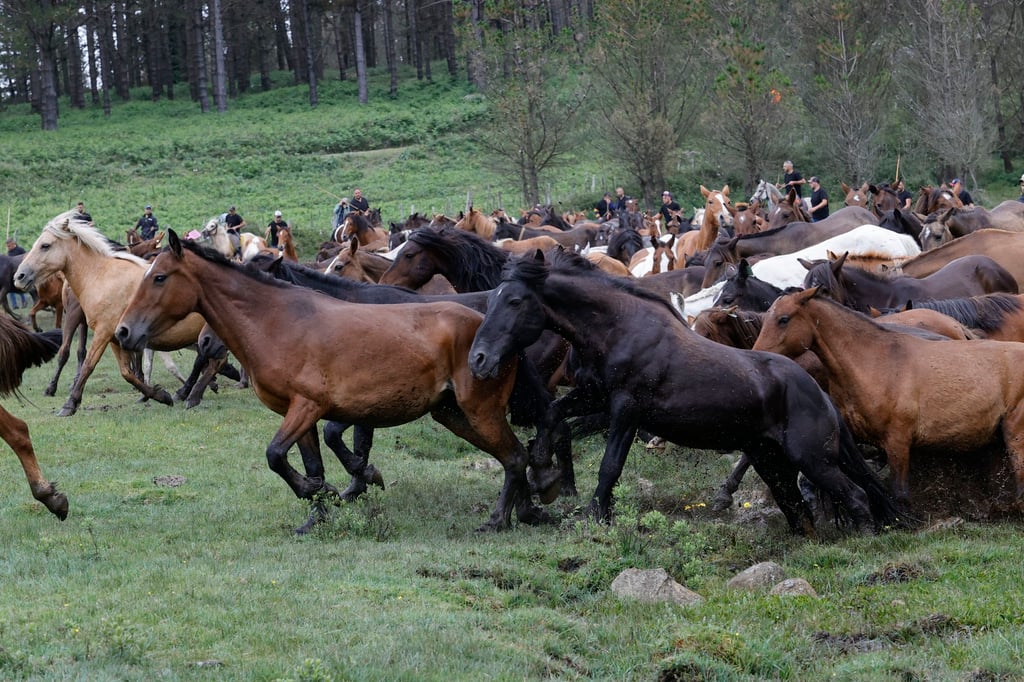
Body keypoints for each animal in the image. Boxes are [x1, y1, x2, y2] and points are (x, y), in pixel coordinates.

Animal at [13, 211, 206, 416]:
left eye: (45, 245)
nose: (19, 277)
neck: (100, 277)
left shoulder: (102, 333)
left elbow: (88, 364)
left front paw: (70, 404)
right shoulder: (114, 338)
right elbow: (127, 372)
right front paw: (159, 395)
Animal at [114, 231, 559, 533]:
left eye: (159, 277)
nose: (123, 332)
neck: (278, 322)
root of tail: (491, 333)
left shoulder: (307, 407)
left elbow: (277, 455)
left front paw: (337, 491)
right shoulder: (302, 414)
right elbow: (310, 466)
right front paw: (318, 514)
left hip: (481, 410)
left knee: (516, 456)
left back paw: (501, 519)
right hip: (452, 413)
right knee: (514, 455)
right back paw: (528, 511)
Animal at [468, 249, 903, 534]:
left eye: (515, 300)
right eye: (492, 298)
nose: (478, 359)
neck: (620, 329)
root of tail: (820, 395)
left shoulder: (626, 408)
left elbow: (610, 465)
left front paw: (595, 516)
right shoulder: (595, 396)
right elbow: (553, 414)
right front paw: (544, 476)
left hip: (812, 458)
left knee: (856, 497)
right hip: (770, 461)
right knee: (798, 510)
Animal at [754, 286, 1024, 512]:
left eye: (783, 319)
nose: (756, 355)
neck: (875, 363)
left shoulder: (897, 442)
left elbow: (899, 492)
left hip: (1015, 434)